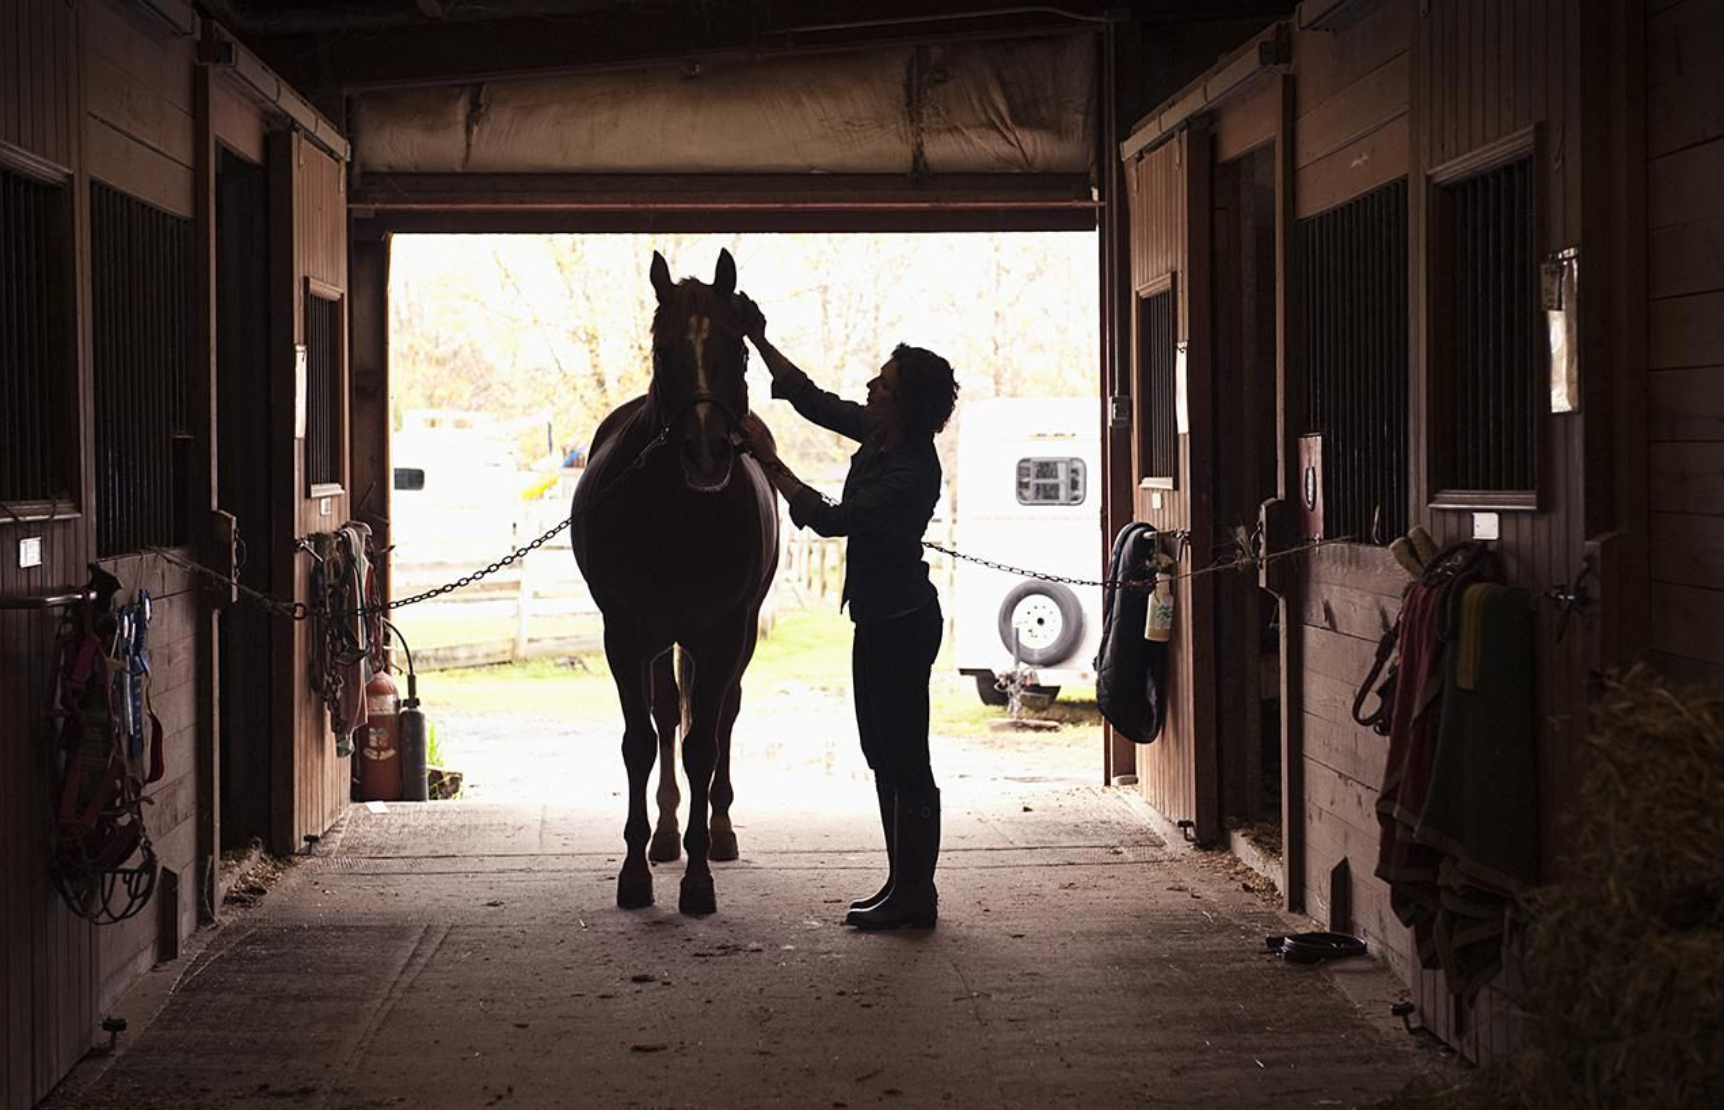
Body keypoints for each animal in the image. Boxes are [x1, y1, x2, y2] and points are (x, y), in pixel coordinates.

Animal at [568, 251, 779, 916]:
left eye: (739, 350)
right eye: (663, 351)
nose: (706, 455)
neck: (680, 517)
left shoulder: (721, 635)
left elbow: (703, 746)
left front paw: (700, 878)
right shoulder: (626, 635)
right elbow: (641, 741)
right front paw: (636, 872)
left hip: (733, 639)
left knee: (721, 718)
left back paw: (720, 832)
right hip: (661, 641)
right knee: (666, 717)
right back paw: (664, 838)